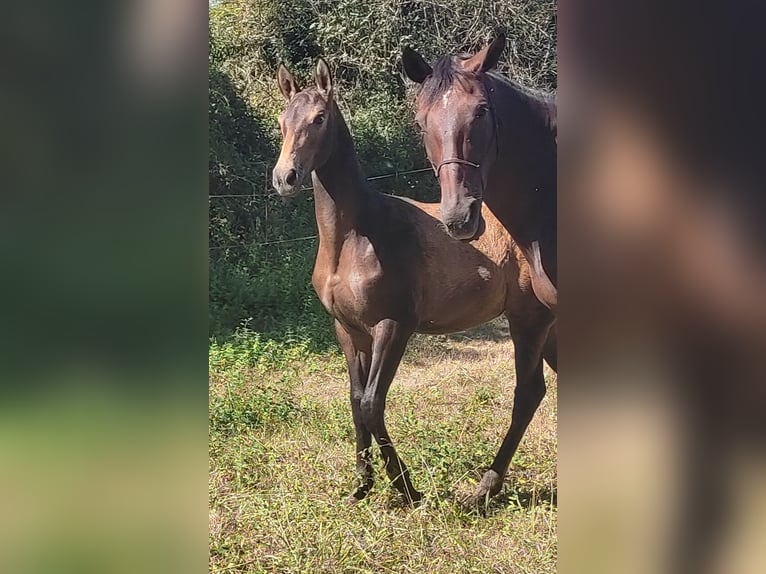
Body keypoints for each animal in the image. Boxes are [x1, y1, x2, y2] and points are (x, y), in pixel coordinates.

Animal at [272, 58, 556, 508]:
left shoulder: (394, 326)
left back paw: (485, 489)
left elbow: (372, 403)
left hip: (530, 321)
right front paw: (361, 485)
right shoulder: (347, 329)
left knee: (528, 393)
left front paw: (406, 487)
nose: (285, 177)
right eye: (282, 121)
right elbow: (355, 401)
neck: (355, 237)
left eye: (319, 118)